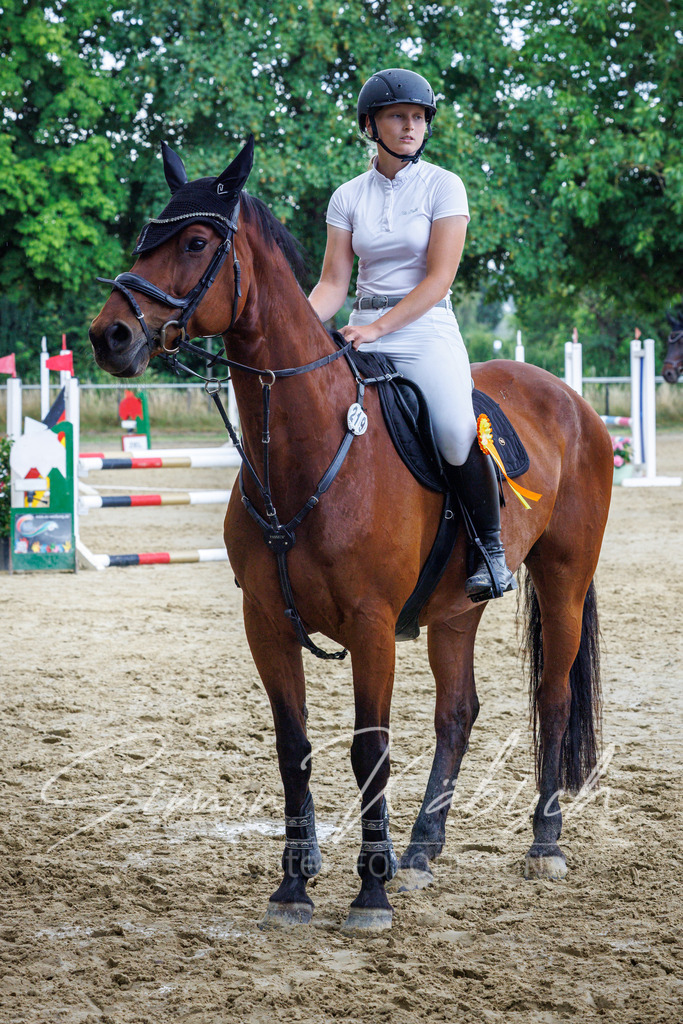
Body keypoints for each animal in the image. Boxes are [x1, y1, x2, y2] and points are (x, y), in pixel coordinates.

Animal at [89, 138, 614, 934]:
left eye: (196, 243)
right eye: (146, 236)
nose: (109, 335)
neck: (306, 449)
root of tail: (569, 399)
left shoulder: (370, 626)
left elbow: (370, 752)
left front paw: (370, 893)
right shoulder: (266, 623)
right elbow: (294, 748)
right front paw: (293, 888)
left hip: (563, 579)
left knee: (551, 697)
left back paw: (543, 843)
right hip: (457, 607)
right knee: (457, 712)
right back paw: (422, 851)